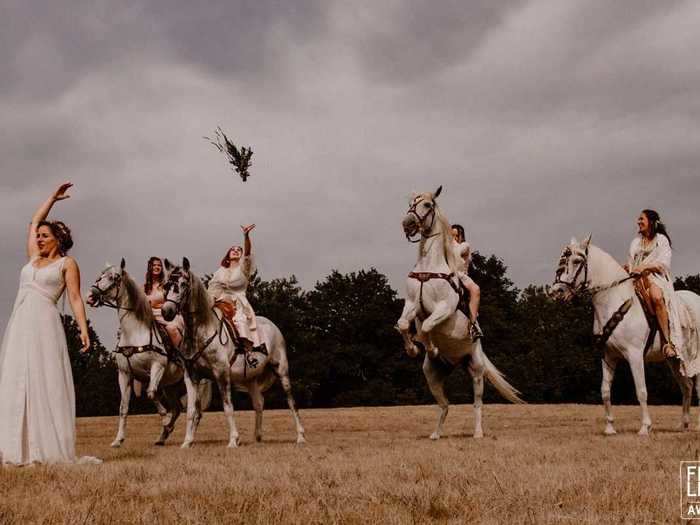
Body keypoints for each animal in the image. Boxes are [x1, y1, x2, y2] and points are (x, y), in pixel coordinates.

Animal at [86, 258, 211, 446]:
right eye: (100, 276)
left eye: (114, 278)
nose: (91, 295)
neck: (135, 332)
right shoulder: (124, 374)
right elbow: (123, 407)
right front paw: (118, 440)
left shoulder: (157, 367)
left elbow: (151, 394)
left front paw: (164, 420)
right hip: (171, 386)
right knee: (177, 408)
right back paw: (163, 437)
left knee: (195, 411)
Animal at [163, 258, 308, 446]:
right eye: (166, 285)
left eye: (183, 284)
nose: (166, 311)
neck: (201, 332)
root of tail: (273, 326)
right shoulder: (191, 375)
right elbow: (191, 411)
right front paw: (187, 442)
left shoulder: (221, 373)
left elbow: (227, 407)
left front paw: (233, 440)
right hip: (251, 378)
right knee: (258, 403)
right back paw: (257, 437)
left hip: (281, 370)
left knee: (291, 402)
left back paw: (300, 436)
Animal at [396, 186, 524, 440]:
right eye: (411, 203)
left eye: (427, 205)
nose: (407, 223)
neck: (429, 268)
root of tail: (457, 363)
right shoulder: (412, 304)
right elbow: (404, 324)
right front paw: (413, 348)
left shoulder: (444, 307)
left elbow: (427, 327)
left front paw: (431, 347)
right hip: (432, 374)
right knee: (445, 406)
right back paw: (435, 434)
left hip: (476, 370)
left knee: (477, 404)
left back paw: (478, 433)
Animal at [548, 236, 700, 434]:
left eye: (576, 261)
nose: (555, 292)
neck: (615, 303)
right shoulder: (608, 357)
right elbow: (605, 391)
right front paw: (609, 427)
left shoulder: (635, 356)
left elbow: (641, 391)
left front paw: (645, 427)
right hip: (673, 359)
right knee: (687, 387)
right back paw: (684, 424)